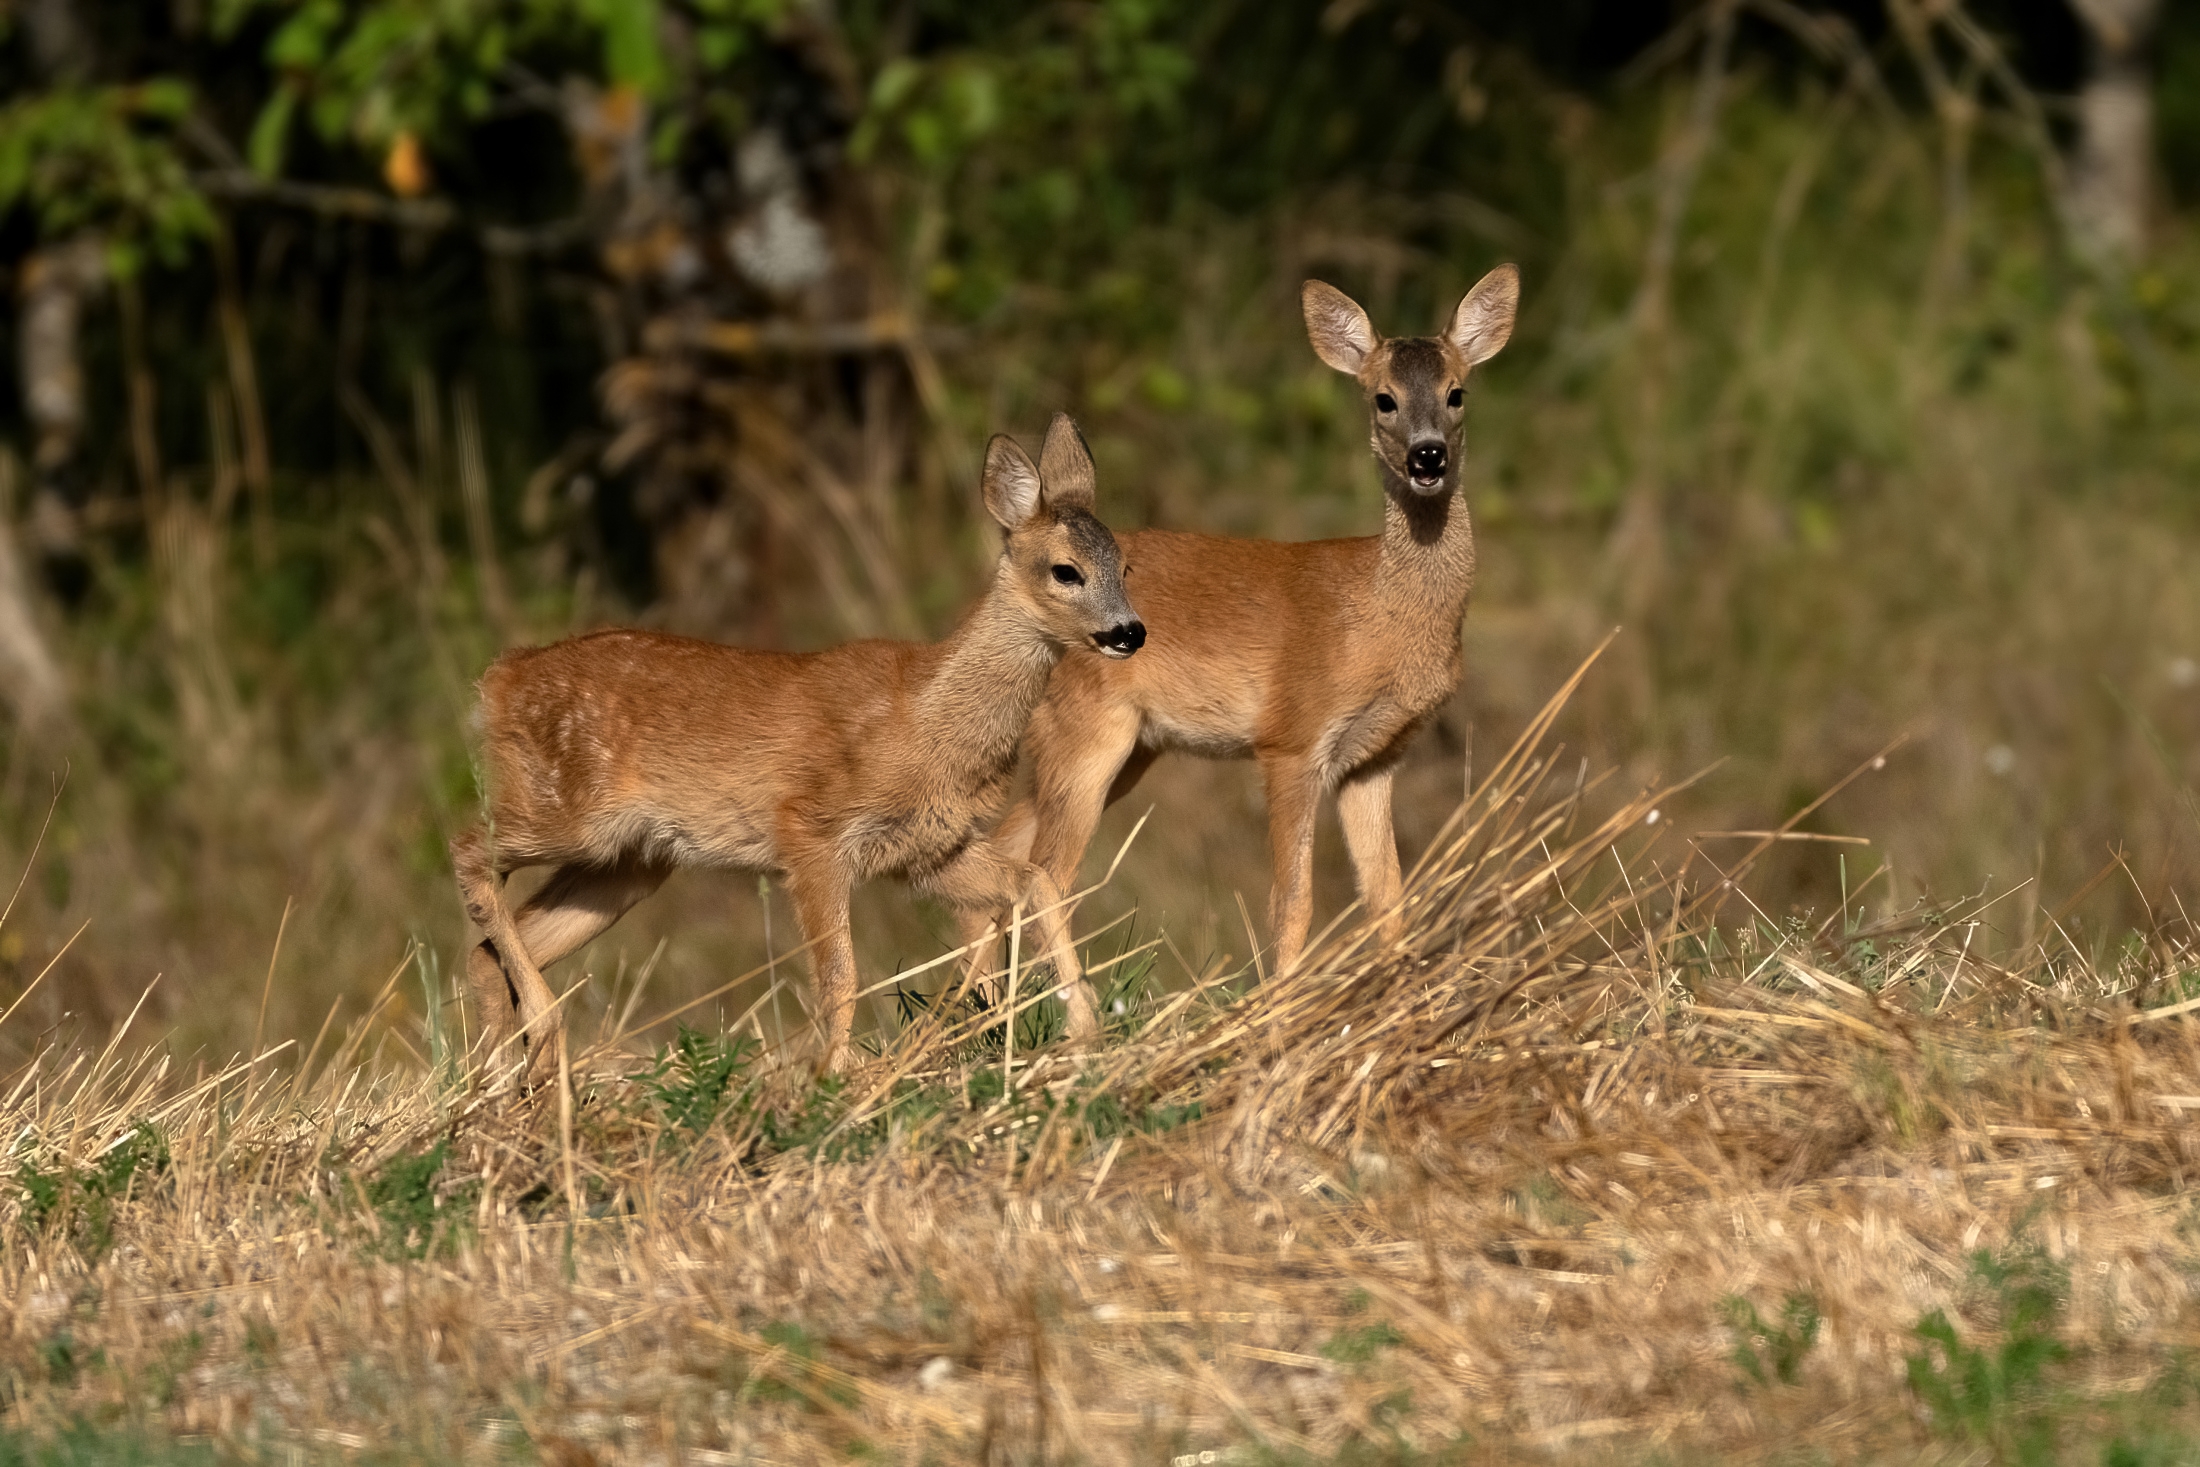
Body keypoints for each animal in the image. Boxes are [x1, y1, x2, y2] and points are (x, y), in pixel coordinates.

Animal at [450, 414, 1144, 1086]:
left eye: (1125, 568)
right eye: (1065, 570)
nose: (1129, 632)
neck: (926, 718)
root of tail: (498, 680)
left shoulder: (930, 849)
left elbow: (1035, 882)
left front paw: (1087, 1035)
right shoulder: (810, 831)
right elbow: (840, 975)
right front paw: (832, 1081)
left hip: (628, 863)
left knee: (484, 951)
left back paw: (507, 1082)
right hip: (569, 812)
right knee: (467, 850)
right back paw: (539, 1035)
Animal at [962, 265, 1518, 982]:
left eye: (1457, 393)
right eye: (1383, 399)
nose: (1428, 457)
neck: (1379, 614)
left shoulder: (1375, 758)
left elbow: (1388, 900)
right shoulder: (1291, 738)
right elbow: (1292, 900)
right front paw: (1279, 1004)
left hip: (1125, 747)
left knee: (1004, 857)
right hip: (1086, 733)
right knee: (1046, 878)